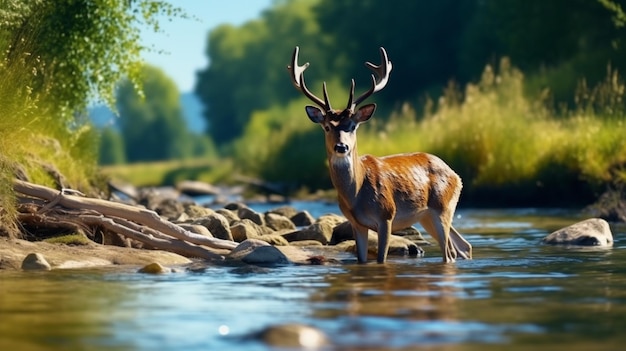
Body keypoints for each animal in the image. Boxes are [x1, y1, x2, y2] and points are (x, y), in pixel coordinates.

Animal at [286, 48, 470, 266]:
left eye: (352, 126)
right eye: (327, 126)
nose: (341, 146)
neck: (357, 194)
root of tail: (456, 176)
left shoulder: (386, 216)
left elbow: (381, 259)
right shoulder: (356, 223)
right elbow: (361, 260)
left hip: (442, 208)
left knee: (449, 253)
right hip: (427, 216)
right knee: (462, 246)